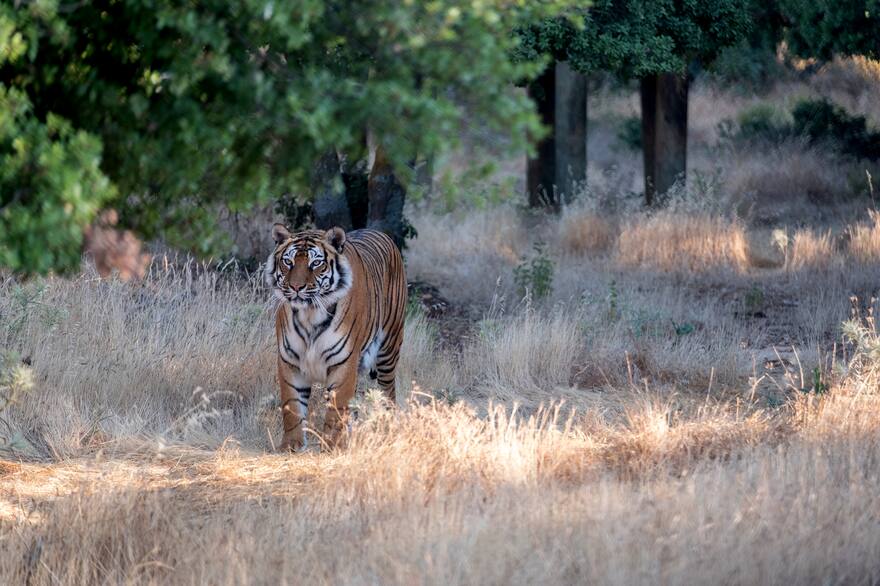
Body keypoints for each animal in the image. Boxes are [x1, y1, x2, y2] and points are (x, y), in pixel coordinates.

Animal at [265, 223, 406, 451]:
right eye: (288, 262)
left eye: (316, 263)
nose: (296, 287)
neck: (309, 315)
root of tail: (379, 232)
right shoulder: (289, 361)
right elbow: (292, 406)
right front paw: (292, 445)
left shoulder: (344, 362)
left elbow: (336, 406)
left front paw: (332, 444)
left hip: (389, 349)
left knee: (388, 393)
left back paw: (388, 428)